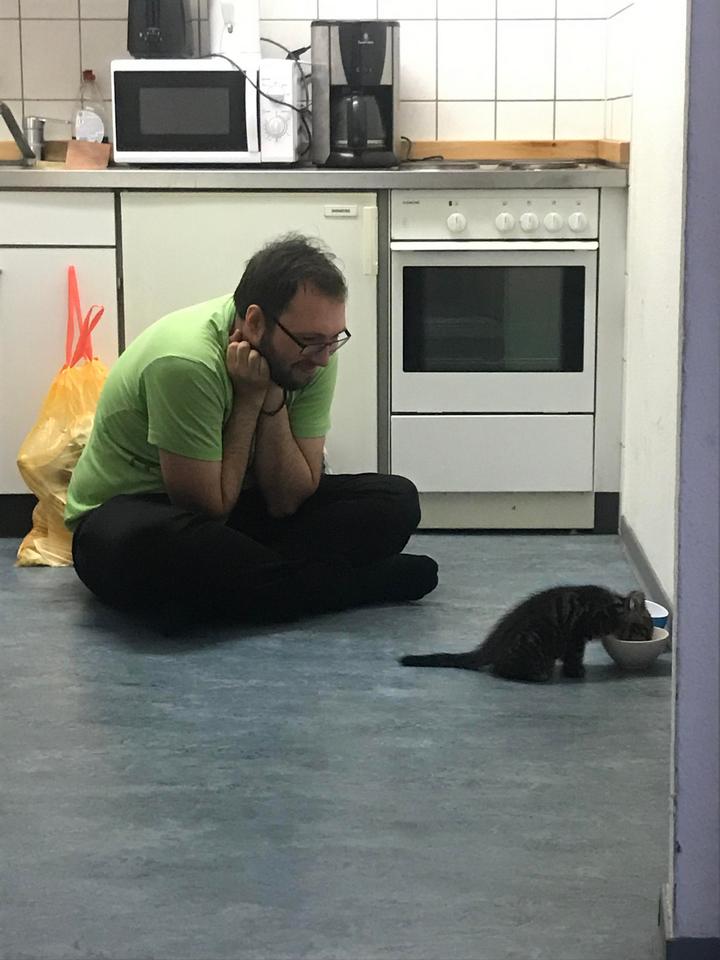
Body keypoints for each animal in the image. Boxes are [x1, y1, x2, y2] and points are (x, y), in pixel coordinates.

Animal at [399, 585, 653, 683]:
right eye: (644, 629)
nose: (649, 638)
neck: (611, 607)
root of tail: (492, 644)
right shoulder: (576, 635)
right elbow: (574, 657)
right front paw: (576, 672)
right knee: (501, 669)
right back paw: (537, 674)